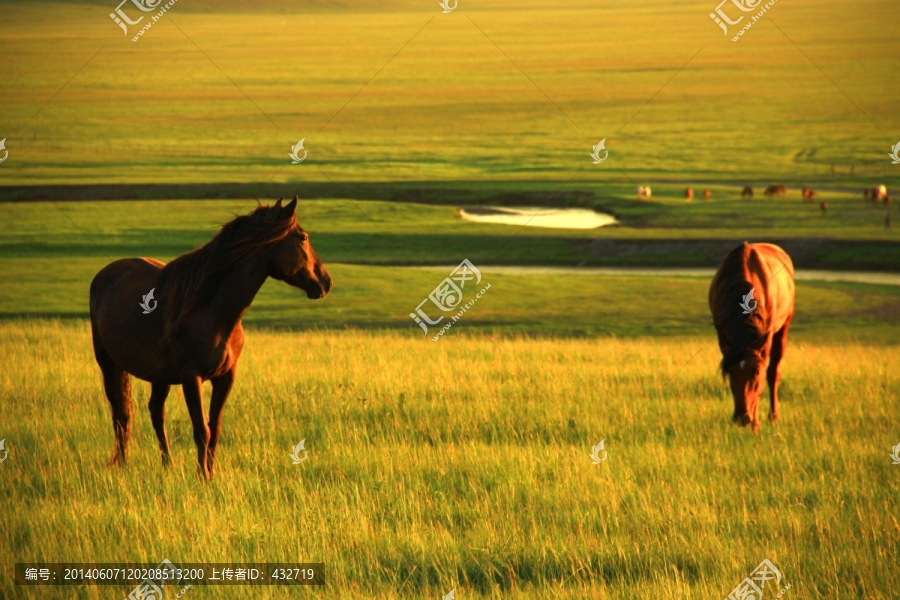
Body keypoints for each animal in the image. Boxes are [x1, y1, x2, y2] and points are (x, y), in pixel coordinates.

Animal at [88, 199, 332, 480]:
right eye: (303, 238)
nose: (326, 282)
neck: (213, 313)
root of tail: (104, 275)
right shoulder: (191, 378)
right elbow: (201, 430)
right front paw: (202, 475)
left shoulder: (226, 377)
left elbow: (214, 428)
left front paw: (212, 474)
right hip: (109, 365)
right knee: (121, 414)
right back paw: (124, 464)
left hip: (159, 377)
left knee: (155, 412)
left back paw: (167, 464)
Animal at [712, 243, 796, 432]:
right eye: (730, 371)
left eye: (756, 372)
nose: (742, 419)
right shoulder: (723, 337)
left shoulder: (766, 336)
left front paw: (756, 424)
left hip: (784, 327)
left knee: (773, 372)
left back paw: (773, 416)